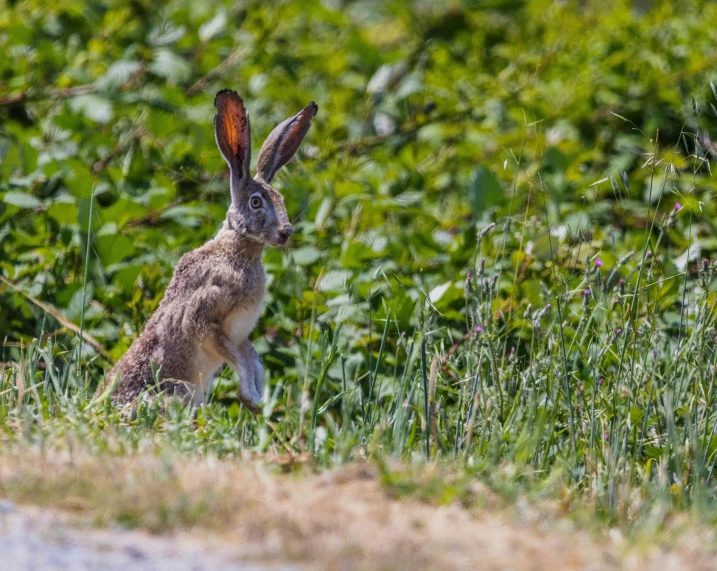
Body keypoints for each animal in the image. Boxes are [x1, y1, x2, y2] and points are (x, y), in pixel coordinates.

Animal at [100, 88, 316, 412]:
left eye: (280, 198)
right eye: (256, 202)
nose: (286, 232)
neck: (239, 249)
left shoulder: (240, 334)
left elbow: (252, 359)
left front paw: (258, 397)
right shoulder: (207, 318)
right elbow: (238, 359)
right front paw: (251, 398)